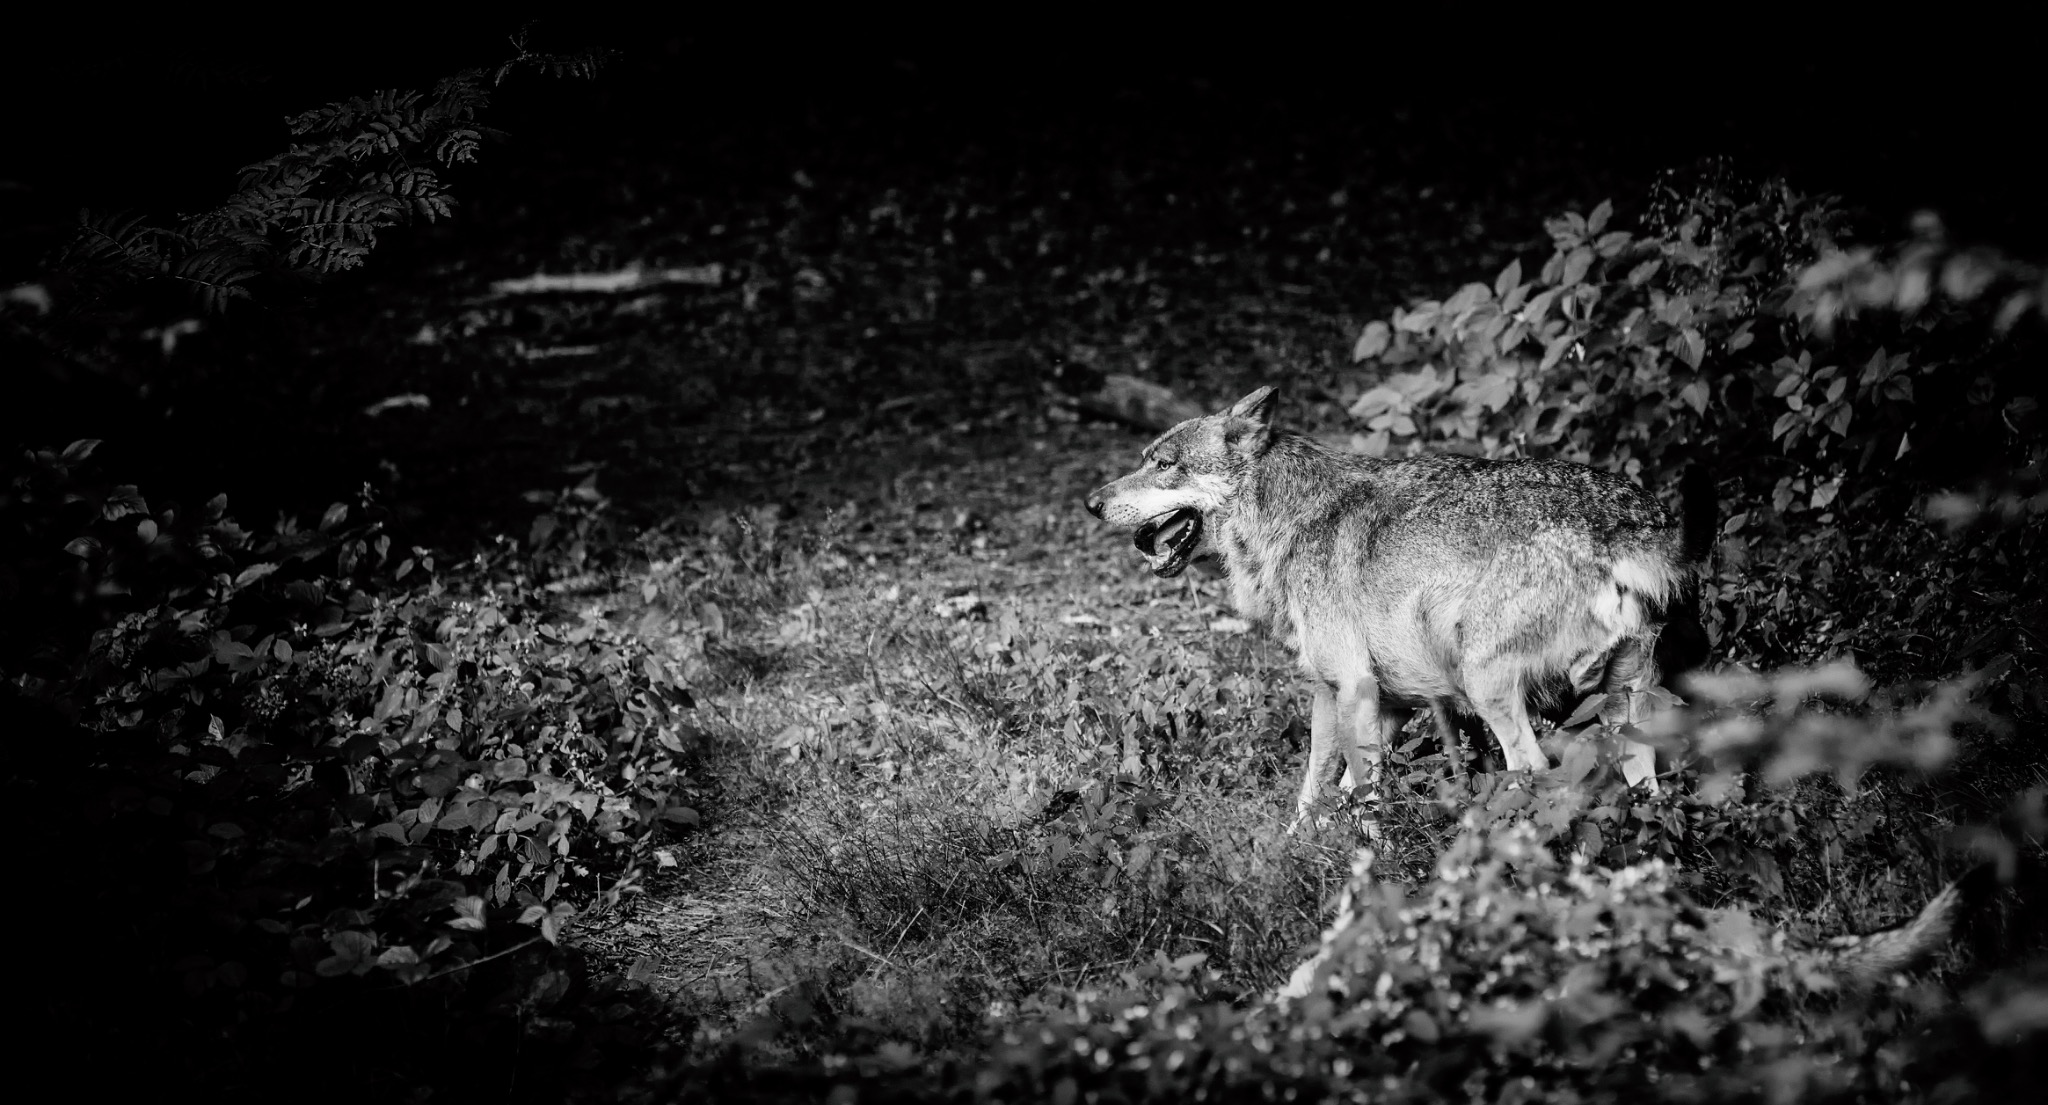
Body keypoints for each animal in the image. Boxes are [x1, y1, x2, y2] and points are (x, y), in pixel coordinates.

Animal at [1086, 386, 1710, 831]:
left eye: (1165, 465)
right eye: (1143, 459)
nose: (1091, 502)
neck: (1286, 517)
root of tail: (1634, 528)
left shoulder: (1347, 688)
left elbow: (1345, 796)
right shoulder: (1381, 704)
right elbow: (1329, 795)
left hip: (1487, 685)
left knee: (1531, 770)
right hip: (1623, 711)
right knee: (1644, 789)